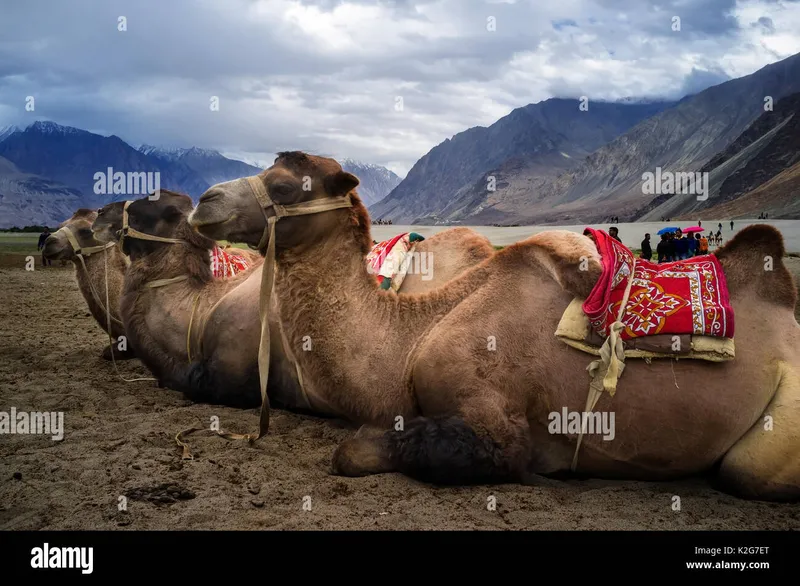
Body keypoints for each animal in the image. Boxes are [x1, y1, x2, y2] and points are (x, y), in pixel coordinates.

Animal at [189, 152, 800, 502]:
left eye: (287, 186)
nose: (205, 200)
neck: (411, 338)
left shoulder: (499, 424)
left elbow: (360, 452)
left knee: (746, 472)